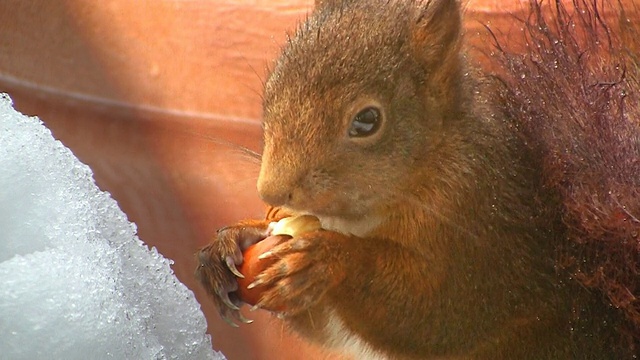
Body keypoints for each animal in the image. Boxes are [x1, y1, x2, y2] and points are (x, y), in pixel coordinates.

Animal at [198, 0, 636, 358]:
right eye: (271, 90)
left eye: (367, 120)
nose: (271, 190)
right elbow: (324, 328)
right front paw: (232, 239)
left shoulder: (482, 228)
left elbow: (432, 315)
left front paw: (325, 259)